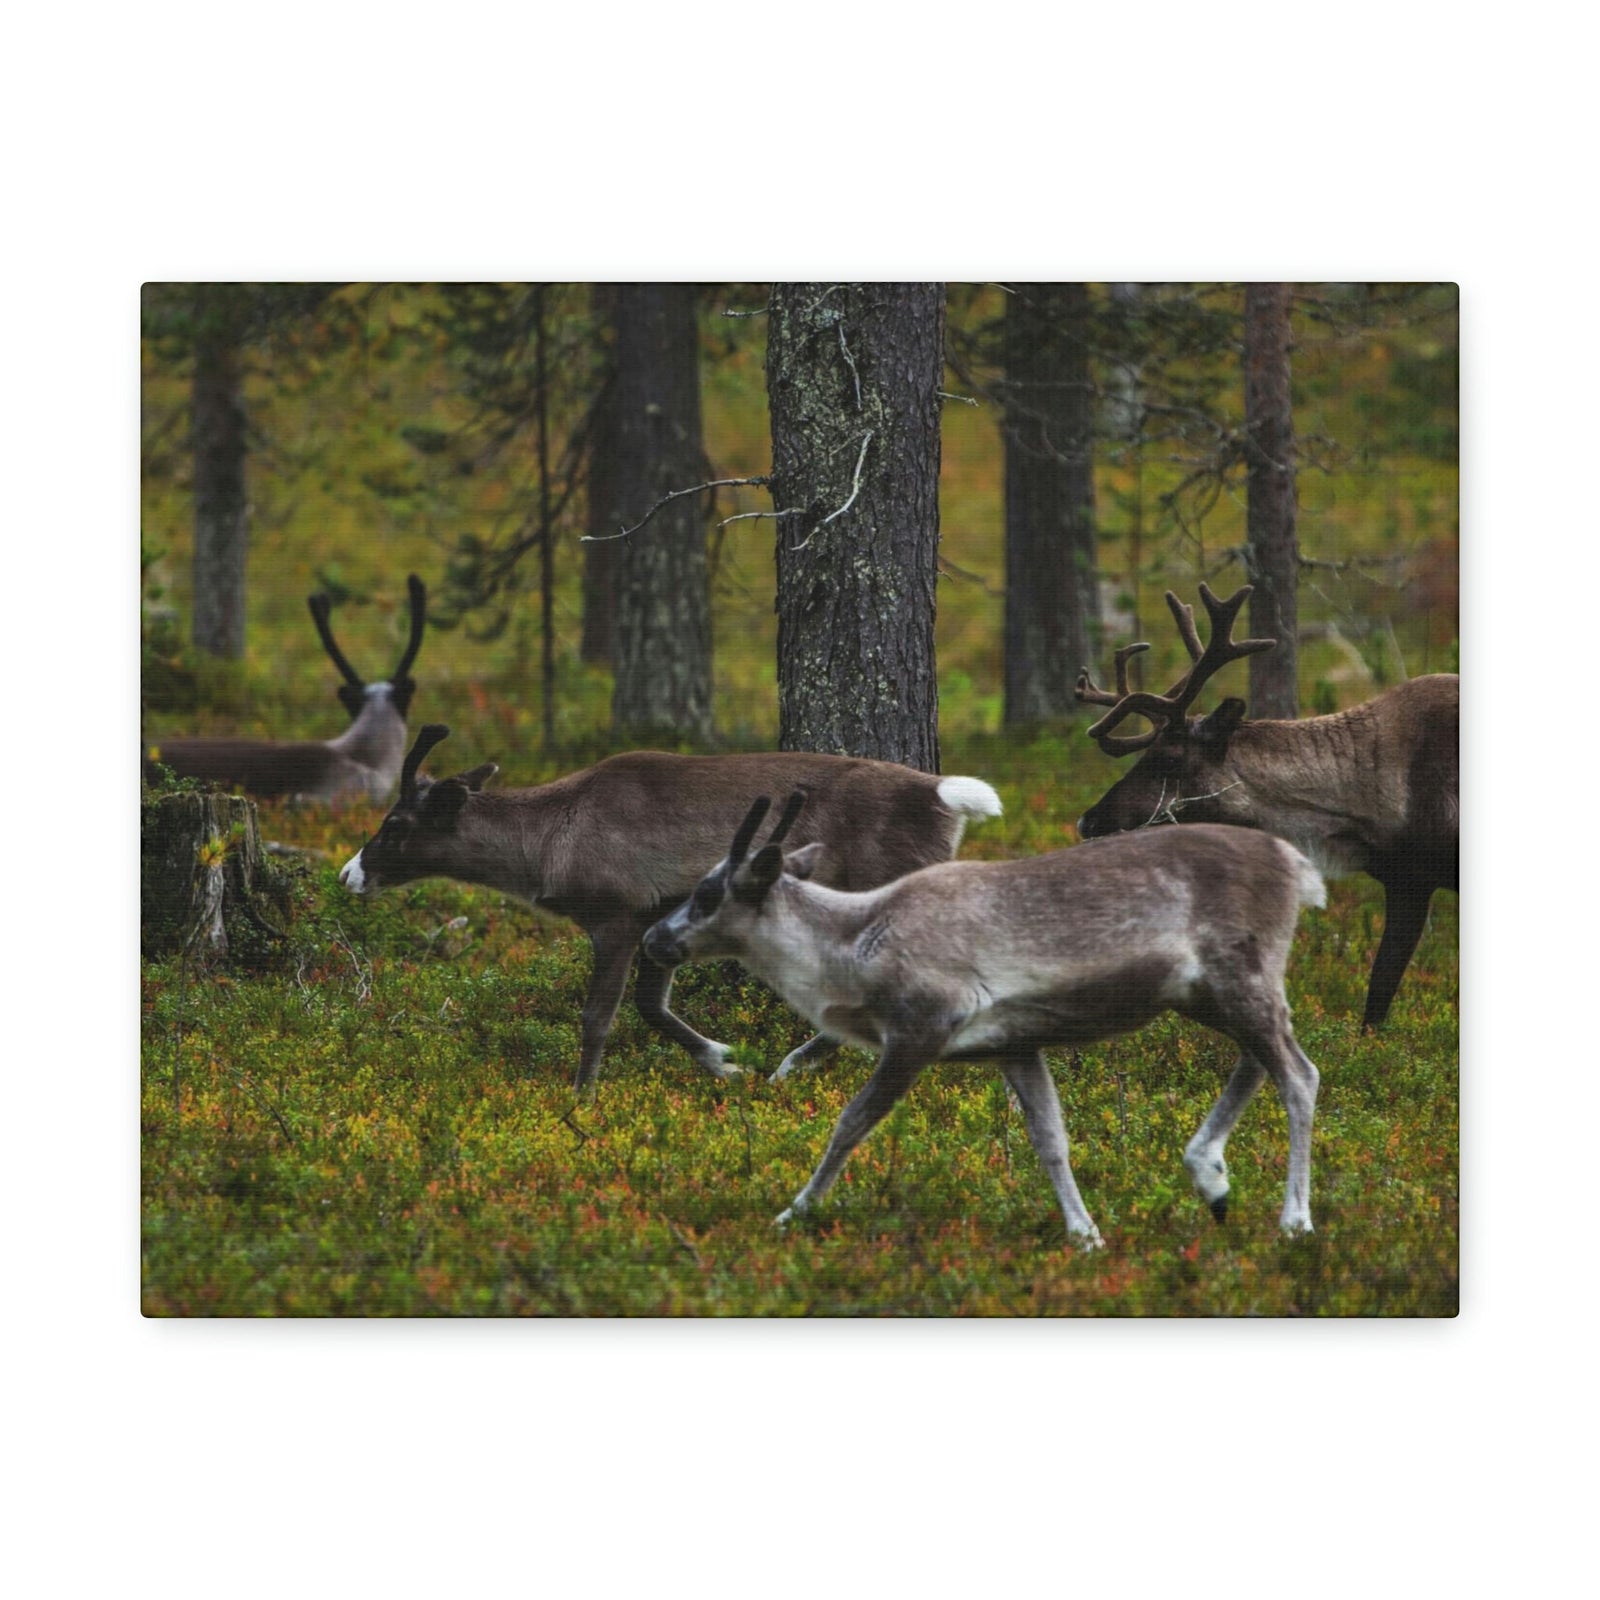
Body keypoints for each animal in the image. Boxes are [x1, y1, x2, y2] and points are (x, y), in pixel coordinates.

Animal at [337, 724, 1004, 1092]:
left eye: (395, 824)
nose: (349, 873)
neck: (548, 844)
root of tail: (944, 795)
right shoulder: (656, 919)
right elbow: (651, 1007)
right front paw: (724, 1063)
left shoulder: (616, 915)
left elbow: (599, 1016)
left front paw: (580, 1099)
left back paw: (794, 1064)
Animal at [642, 792, 1328, 1245]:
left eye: (706, 893)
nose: (653, 938)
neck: (852, 947)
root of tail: (1298, 865)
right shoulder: (1015, 1046)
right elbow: (1051, 1139)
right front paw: (1085, 1234)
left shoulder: (918, 1030)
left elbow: (850, 1124)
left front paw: (793, 1213)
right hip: (1212, 992)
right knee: (1258, 1061)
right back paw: (1210, 1177)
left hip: (1239, 977)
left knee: (1299, 1074)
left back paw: (1294, 1220)